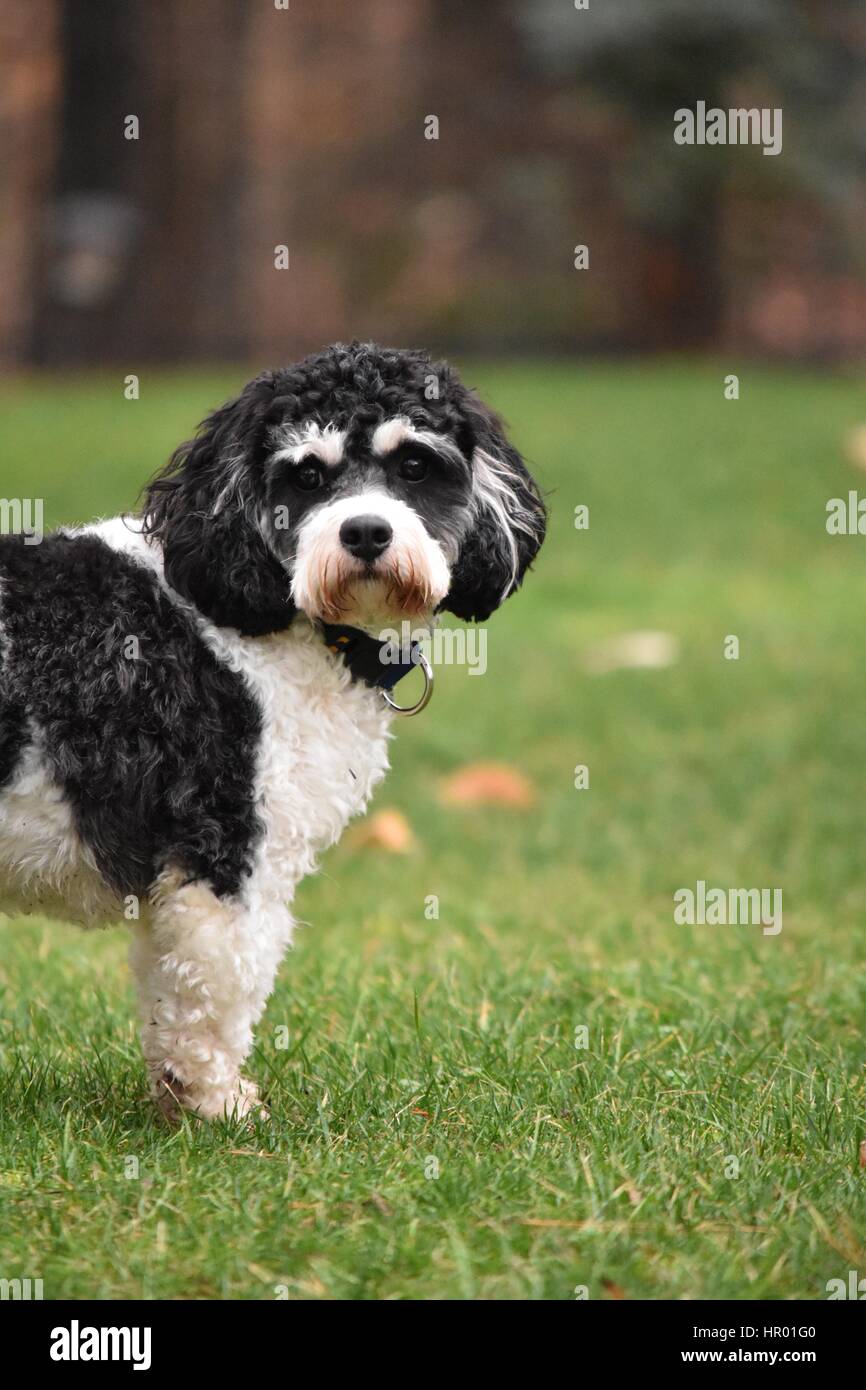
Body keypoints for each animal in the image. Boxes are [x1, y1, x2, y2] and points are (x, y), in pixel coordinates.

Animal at [0, 341, 544, 1123]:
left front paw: (180, 1099)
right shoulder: (225, 852)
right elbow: (215, 992)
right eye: (307, 476)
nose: (365, 531)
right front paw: (218, 1106)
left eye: (414, 465)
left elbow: (168, 990)